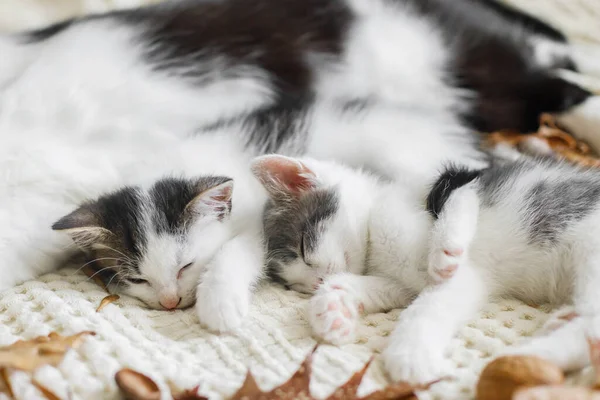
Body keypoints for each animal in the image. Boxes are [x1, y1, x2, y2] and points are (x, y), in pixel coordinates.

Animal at [254, 154, 600, 384]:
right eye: (293, 286)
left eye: (303, 249)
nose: (316, 282)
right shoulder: (401, 283)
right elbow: (393, 290)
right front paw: (331, 308)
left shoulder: (451, 184)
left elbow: (460, 196)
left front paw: (410, 352)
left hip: (591, 252)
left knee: (592, 328)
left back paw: (528, 358)